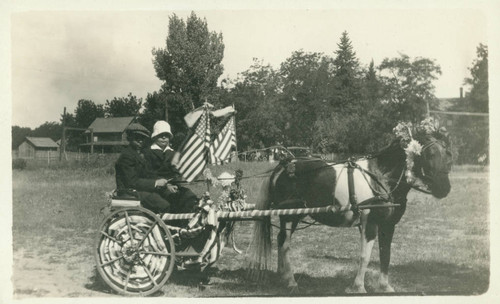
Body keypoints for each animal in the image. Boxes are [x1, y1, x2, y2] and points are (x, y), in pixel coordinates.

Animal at [248, 118, 452, 292]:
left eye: (447, 154)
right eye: (429, 154)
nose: (445, 189)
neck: (381, 177)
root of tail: (283, 165)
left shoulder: (388, 225)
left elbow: (385, 254)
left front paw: (385, 287)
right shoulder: (370, 223)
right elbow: (365, 255)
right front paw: (358, 286)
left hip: (294, 214)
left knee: (281, 241)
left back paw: (281, 276)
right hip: (290, 215)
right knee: (284, 244)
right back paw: (290, 281)